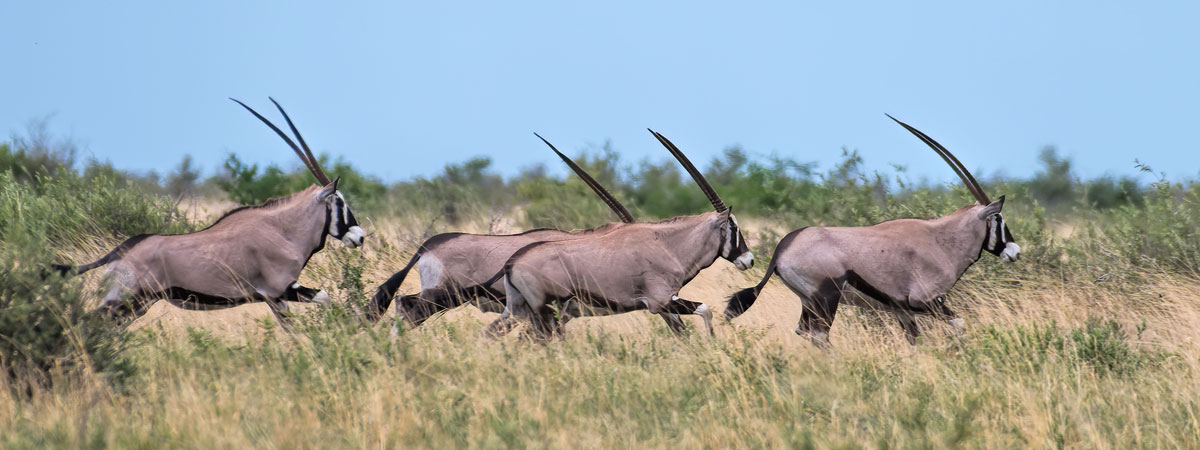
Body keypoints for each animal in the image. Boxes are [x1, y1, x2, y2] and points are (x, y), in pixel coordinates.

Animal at [49, 97, 364, 324]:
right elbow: (322, 303)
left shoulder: (276, 297)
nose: (359, 236)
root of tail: (118, 253)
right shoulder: (280, 290)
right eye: (340, 202)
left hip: (138, 304)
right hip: (124, 302)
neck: (281, 230)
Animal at [484, 128, 748, 340]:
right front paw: (711, 342)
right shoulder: (660, 302)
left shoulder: (665, 305)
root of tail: (512, 263)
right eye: (734, 227)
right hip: (545, 312)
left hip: (519, 310)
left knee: (494, 333)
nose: (749, 259)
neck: (667, 245)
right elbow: (704, 311)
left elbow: (683, 329)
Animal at [720, 114, 1022, 348]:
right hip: (826, 299)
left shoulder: (902, 310)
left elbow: (915, 340)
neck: (941, 240)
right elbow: (958, 323)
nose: (1014, 252)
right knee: (819, 336)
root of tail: (783, 248)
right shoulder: (925, 301)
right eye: (998, 219)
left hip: (809, 301)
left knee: (805, 332)